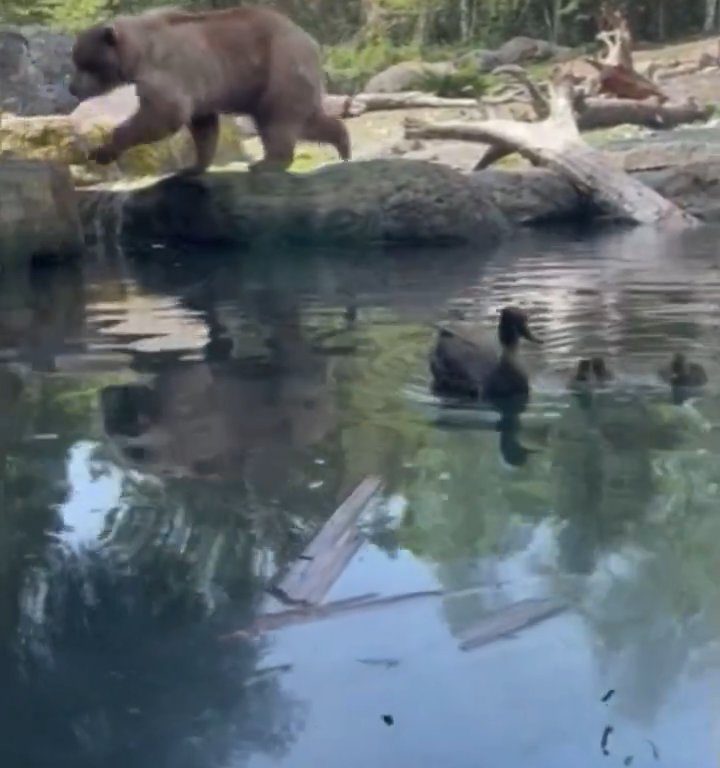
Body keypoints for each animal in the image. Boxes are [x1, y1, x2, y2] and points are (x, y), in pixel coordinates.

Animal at [69, 6, 350, 174]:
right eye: (77, 61)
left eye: (86, 64)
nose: (72, 88)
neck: (136, 54)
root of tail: (310, 41)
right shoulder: (198, 86)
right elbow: (203, 125)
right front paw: (193, 166)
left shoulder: (167, 69)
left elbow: (164, 114)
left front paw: (102, 151)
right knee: (306, 120)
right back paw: (343, 145)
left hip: (278, 68)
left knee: (277, 120)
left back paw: (268, 162)